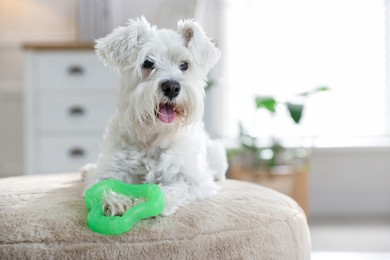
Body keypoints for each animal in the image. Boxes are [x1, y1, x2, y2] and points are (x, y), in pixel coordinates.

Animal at [83, 16, 229, 215]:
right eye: (147, 63)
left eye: (184, 64)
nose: (172, 87)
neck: (154, 137)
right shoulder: (111, 170)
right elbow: (103, 185)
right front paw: (116, 201)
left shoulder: (194, 181)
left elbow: (172, 189)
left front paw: (144, 200)